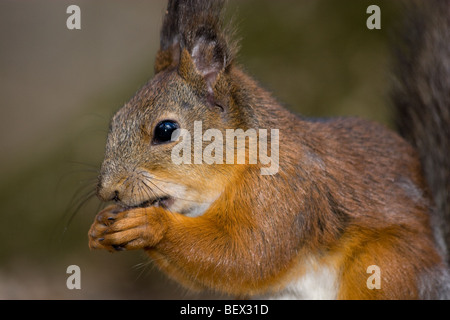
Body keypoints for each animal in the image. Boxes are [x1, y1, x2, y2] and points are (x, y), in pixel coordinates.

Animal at [88, 0, 450, 300]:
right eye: (114, 121)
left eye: (165, 130)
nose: (109, 191)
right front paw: (100, 226)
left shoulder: (286, 189)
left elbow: (248, 254)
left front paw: (150, 225)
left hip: (386, 266)